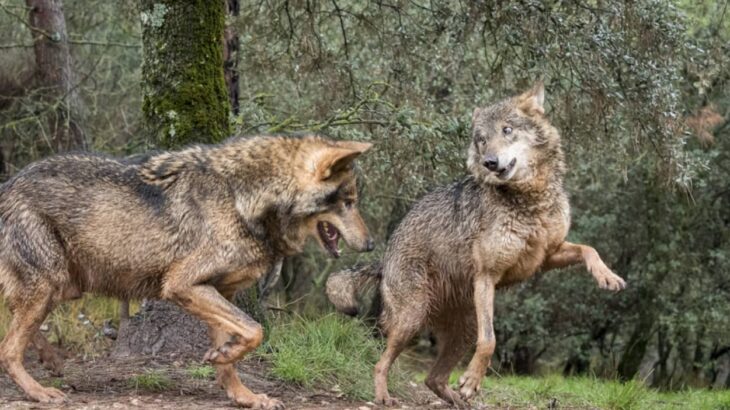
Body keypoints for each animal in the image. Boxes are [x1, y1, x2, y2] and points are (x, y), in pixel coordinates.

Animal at [0, 134, 372, 406]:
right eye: (349, 202)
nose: (370, 245)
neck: (243, 198)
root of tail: (8, 184)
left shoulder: (219, 290)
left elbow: (236, 354)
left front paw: (243, 393)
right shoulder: (182, 285)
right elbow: (255, 331)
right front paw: (225, 359)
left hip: (61, 288)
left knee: (18, 331)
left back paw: (52, 361)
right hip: (49, 285)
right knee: (8, 349)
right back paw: (39, 392)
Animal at [326, 84, 624, 406]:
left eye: (507, 130)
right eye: (482, 139)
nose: (489, 162)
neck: (530, 202)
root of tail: (385, 257)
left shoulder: (547, 255)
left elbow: (588, 248)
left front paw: (608, 276)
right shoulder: (486, 276)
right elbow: (490, 340)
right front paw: (471, 381)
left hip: (463, 329)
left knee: (433, 378)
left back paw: (458, 402)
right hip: (413, 319)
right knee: (382, 363)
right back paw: (384, 397)